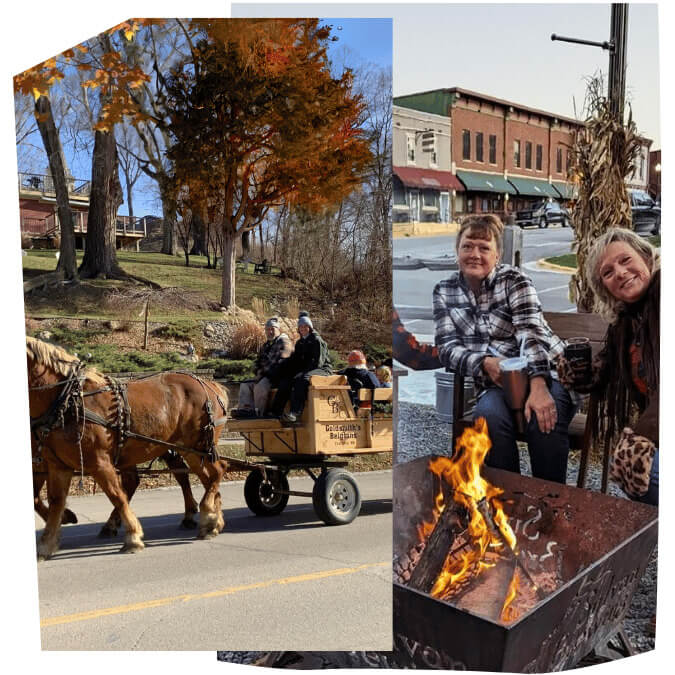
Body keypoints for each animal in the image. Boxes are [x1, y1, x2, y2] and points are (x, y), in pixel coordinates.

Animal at [27, 336, 230, 564]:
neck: (67, 399)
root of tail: (212, 385)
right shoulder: (58, 466)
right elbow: (55, 501)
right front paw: (46, 544)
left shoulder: (98, 462)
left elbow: (116, 495)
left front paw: (133, 536)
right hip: (190, 450)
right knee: (206, 478)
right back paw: (212, 522)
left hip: (198, 445)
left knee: (217, 471)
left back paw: (206, 513)